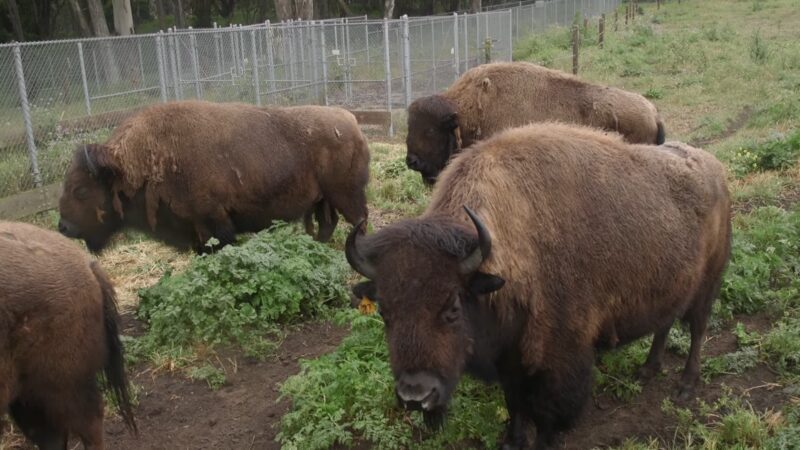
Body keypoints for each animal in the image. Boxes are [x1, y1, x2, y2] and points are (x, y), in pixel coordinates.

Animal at [59, 100, 372, 253]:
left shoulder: (214, 221)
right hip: (323, 199)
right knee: (328, 224)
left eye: (81, 190)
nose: (63, 227)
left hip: (346, 195)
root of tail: (351, 121)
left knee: (360, 220)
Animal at [344, 121, 732, 448]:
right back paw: (648, 370)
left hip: (707, 287)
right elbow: (514, 402)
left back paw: (686, 386)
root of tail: (715, 169)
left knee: (697, 330)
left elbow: (548, 415)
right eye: (384, 312)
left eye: (452, 307)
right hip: (672, 286)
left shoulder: (557, 360)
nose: (415, 396)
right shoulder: (509, 356)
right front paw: (512, 440)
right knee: (664, 325)